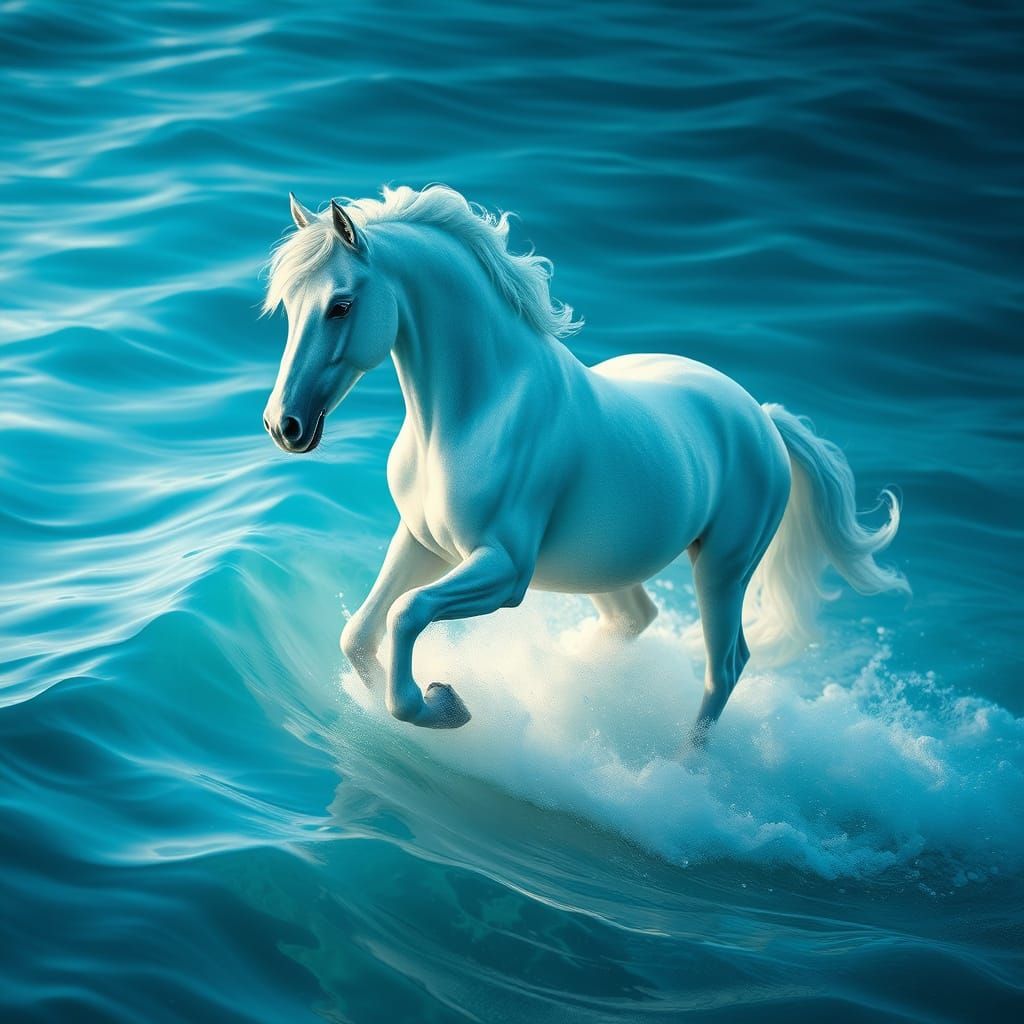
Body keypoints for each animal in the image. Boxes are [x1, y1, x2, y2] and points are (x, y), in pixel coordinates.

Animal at [262, 185, 908, 740]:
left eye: (341, 306)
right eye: (289, 306)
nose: (283, 426)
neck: (474, 410)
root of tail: (764, 418)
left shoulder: (504, 571)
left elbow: (405, 613)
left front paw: (444, 705)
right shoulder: (423, 542)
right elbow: (360, 633)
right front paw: (409, 700)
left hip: (724, 566)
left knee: (725, 666)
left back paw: (681, 771)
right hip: (601, 562)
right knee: (636, 619)